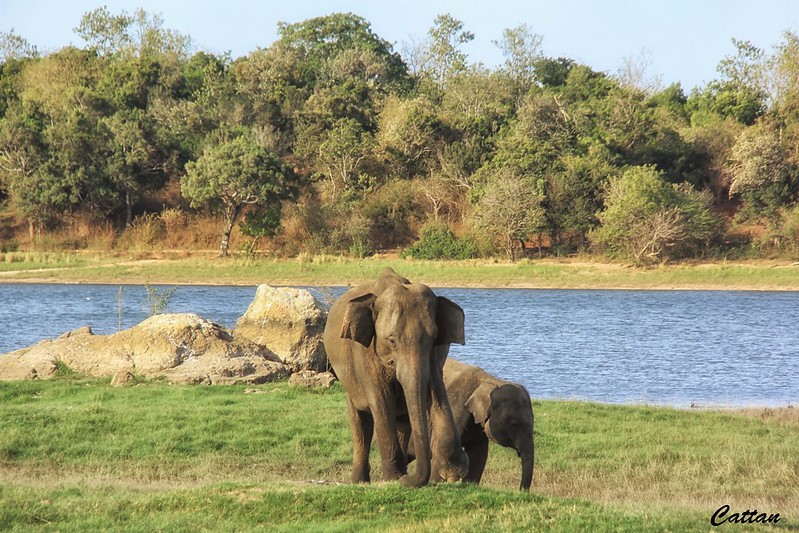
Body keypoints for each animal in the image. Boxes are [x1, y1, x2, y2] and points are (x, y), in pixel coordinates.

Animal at [324, 266, 468, 486]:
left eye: (433, 338)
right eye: (391, 340)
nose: (408, 480)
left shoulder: (435, 357)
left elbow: (437, 395)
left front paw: (454, 473)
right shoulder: (364, 352)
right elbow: (381, 403)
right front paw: (393, 479)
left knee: (402, 421)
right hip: (349, 379)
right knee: (361, 422)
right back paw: (361, 481)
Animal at [410, 358, 536, 490]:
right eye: (515, 424)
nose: (521, 490)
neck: (488, 380)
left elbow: (478, 454)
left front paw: (469, 484)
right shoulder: (455, 407)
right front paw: (434, 482)